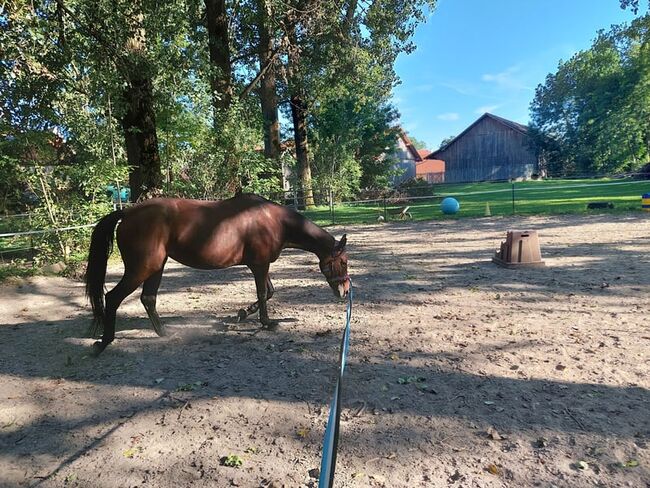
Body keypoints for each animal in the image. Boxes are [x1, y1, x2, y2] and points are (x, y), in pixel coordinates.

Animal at [87, 193, 350, 356]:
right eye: (345, 262)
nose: (345, 291)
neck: (273, 220)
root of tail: (128, 213)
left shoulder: (260, 264)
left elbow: (269, 292)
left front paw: (243, 313)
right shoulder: (260, 265)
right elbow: (263, 293)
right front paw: (266, 323)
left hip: (156, 267)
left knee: (148, 299)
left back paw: (164, 333)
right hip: (142, 268)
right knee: (113, 297)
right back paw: (103, 342)